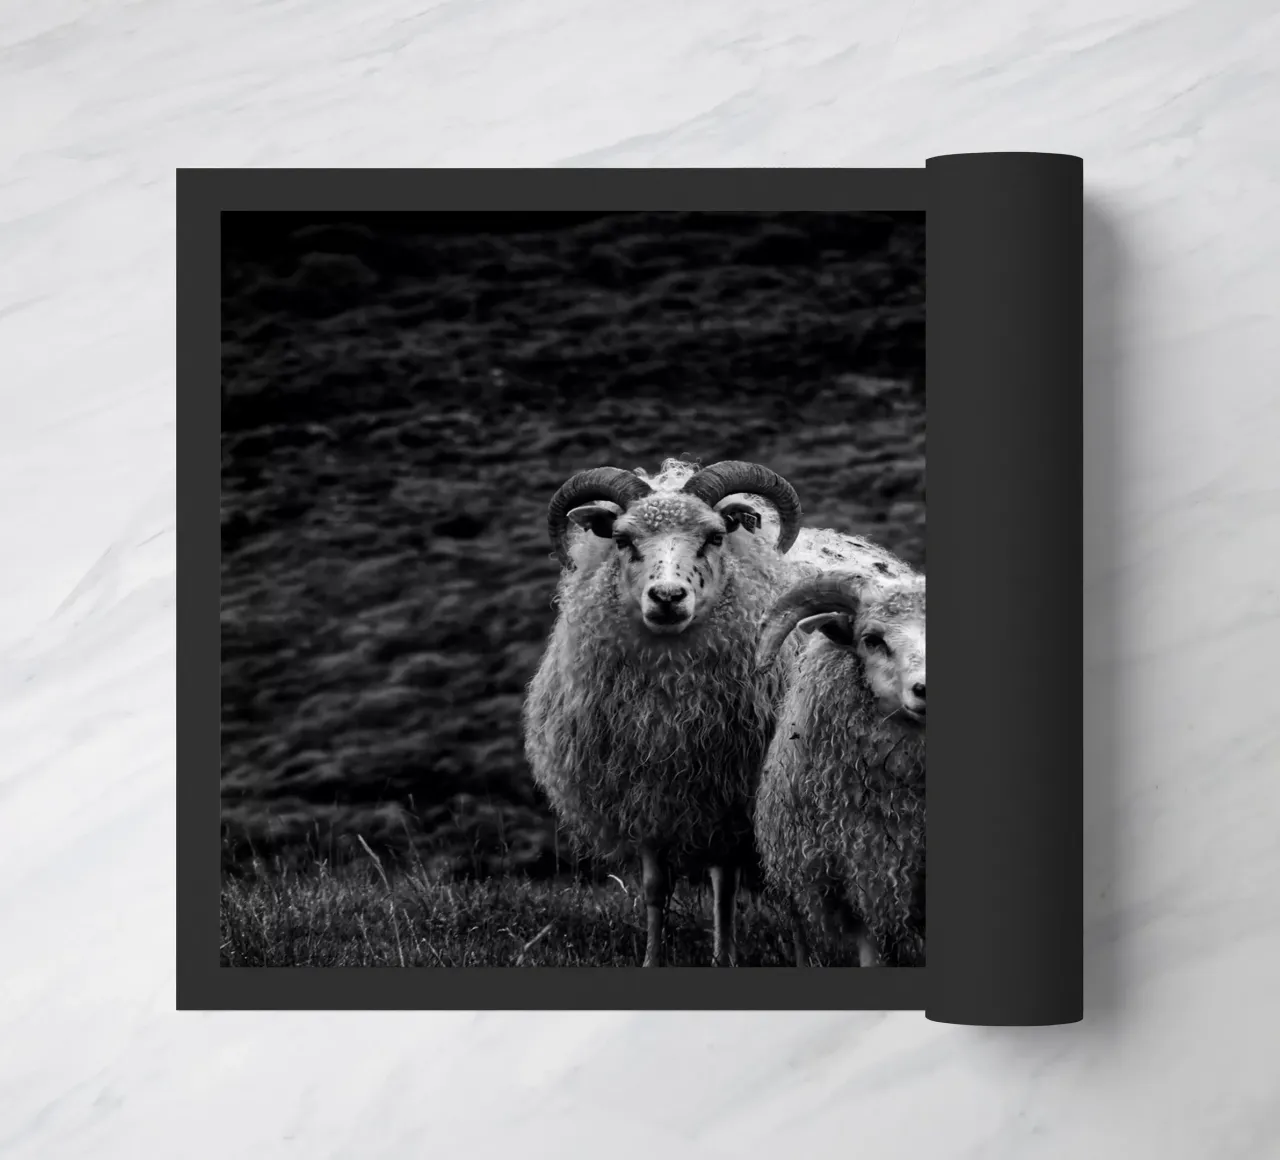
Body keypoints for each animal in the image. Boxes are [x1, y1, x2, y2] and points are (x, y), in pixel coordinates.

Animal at [522, 456, 808, 967]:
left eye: (715, 536)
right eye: (622, 539)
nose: (668, 597)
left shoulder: (727, 795)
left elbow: (726, 886)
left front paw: (724, 958)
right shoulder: (647, 795)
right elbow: (655, 889)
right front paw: (653, 959)